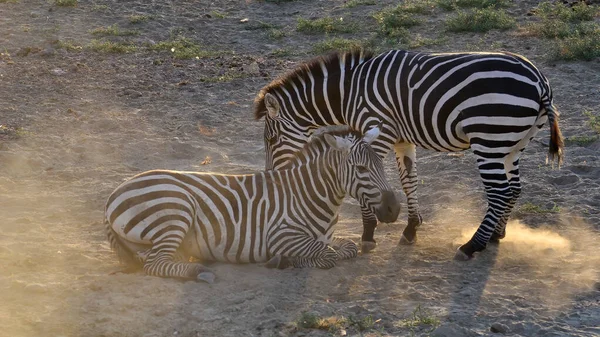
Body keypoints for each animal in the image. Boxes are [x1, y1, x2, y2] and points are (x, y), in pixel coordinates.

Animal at [105, 127, 400, 282]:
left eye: (381, 164)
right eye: (361, 169)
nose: (394, 209)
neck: (309, 193)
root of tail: (114, 193)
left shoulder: (326, 236)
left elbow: (348, 247)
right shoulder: (280, 235)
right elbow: (328, 256)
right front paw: (285, 260)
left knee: (158, 258)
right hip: (176, 210)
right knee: (154, 263)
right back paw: (198, 271)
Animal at [255, 49, 564, 260]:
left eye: (271, 139)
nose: (272, 176)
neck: (349, 92)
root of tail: (540, 81)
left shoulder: (376, 132)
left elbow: (370, 185)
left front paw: (369, 234)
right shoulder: (402, 140)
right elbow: (409, 182)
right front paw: (411, 228)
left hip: (490, 140)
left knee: (500, 192)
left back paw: (472, 245)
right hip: (512, 143)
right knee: (514, 189)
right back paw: (496, 235)